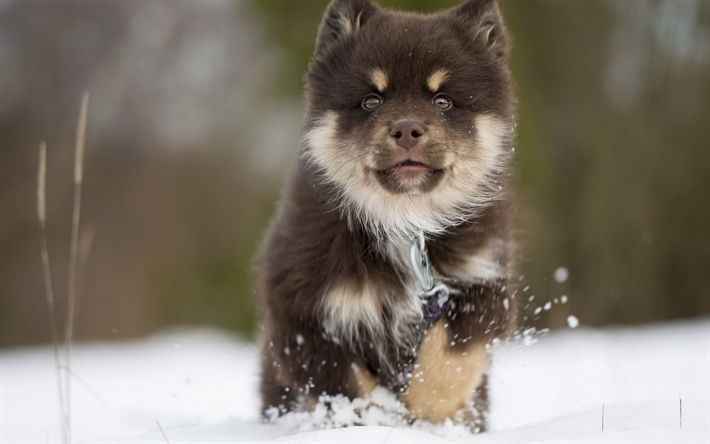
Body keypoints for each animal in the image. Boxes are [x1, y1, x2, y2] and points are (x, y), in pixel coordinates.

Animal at [256, 0, 516, 430]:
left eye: (442, 101)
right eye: (371, 101)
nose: (407, 129)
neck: (405, 226)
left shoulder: (484, 284)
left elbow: (450, 360)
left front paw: (423, 417)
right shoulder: (300, 309)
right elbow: (344, 383)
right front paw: (377, 420)